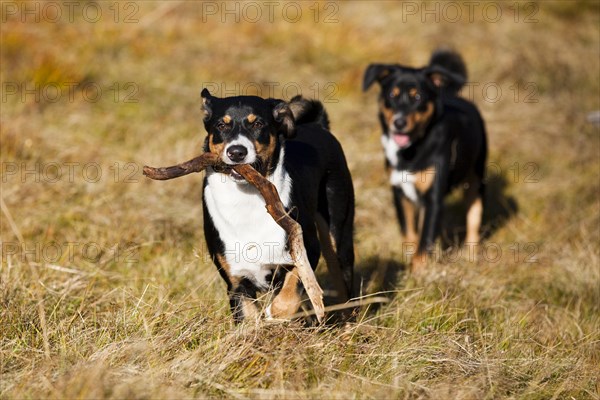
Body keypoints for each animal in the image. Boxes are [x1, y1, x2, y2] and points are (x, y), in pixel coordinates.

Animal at [199, 90, 354, 322]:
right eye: (221, 125)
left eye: (258, 124)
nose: (237, 151)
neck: (246, 200)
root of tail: (318, 125)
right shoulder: (236, 282)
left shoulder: (307, 249)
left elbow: (291, 290)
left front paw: (276, 313)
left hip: (339, 236)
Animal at [360, 48, 488, 270]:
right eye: (392, 95)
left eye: (417, 97)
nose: (399, 122)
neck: (410, 150)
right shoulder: (400, 193)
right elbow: (411, 233)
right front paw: (409, 262)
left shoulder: (434, 197)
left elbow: (425, 239)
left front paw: (418, 271)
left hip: (475, 178)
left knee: (473, 217)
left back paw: (470, 257)